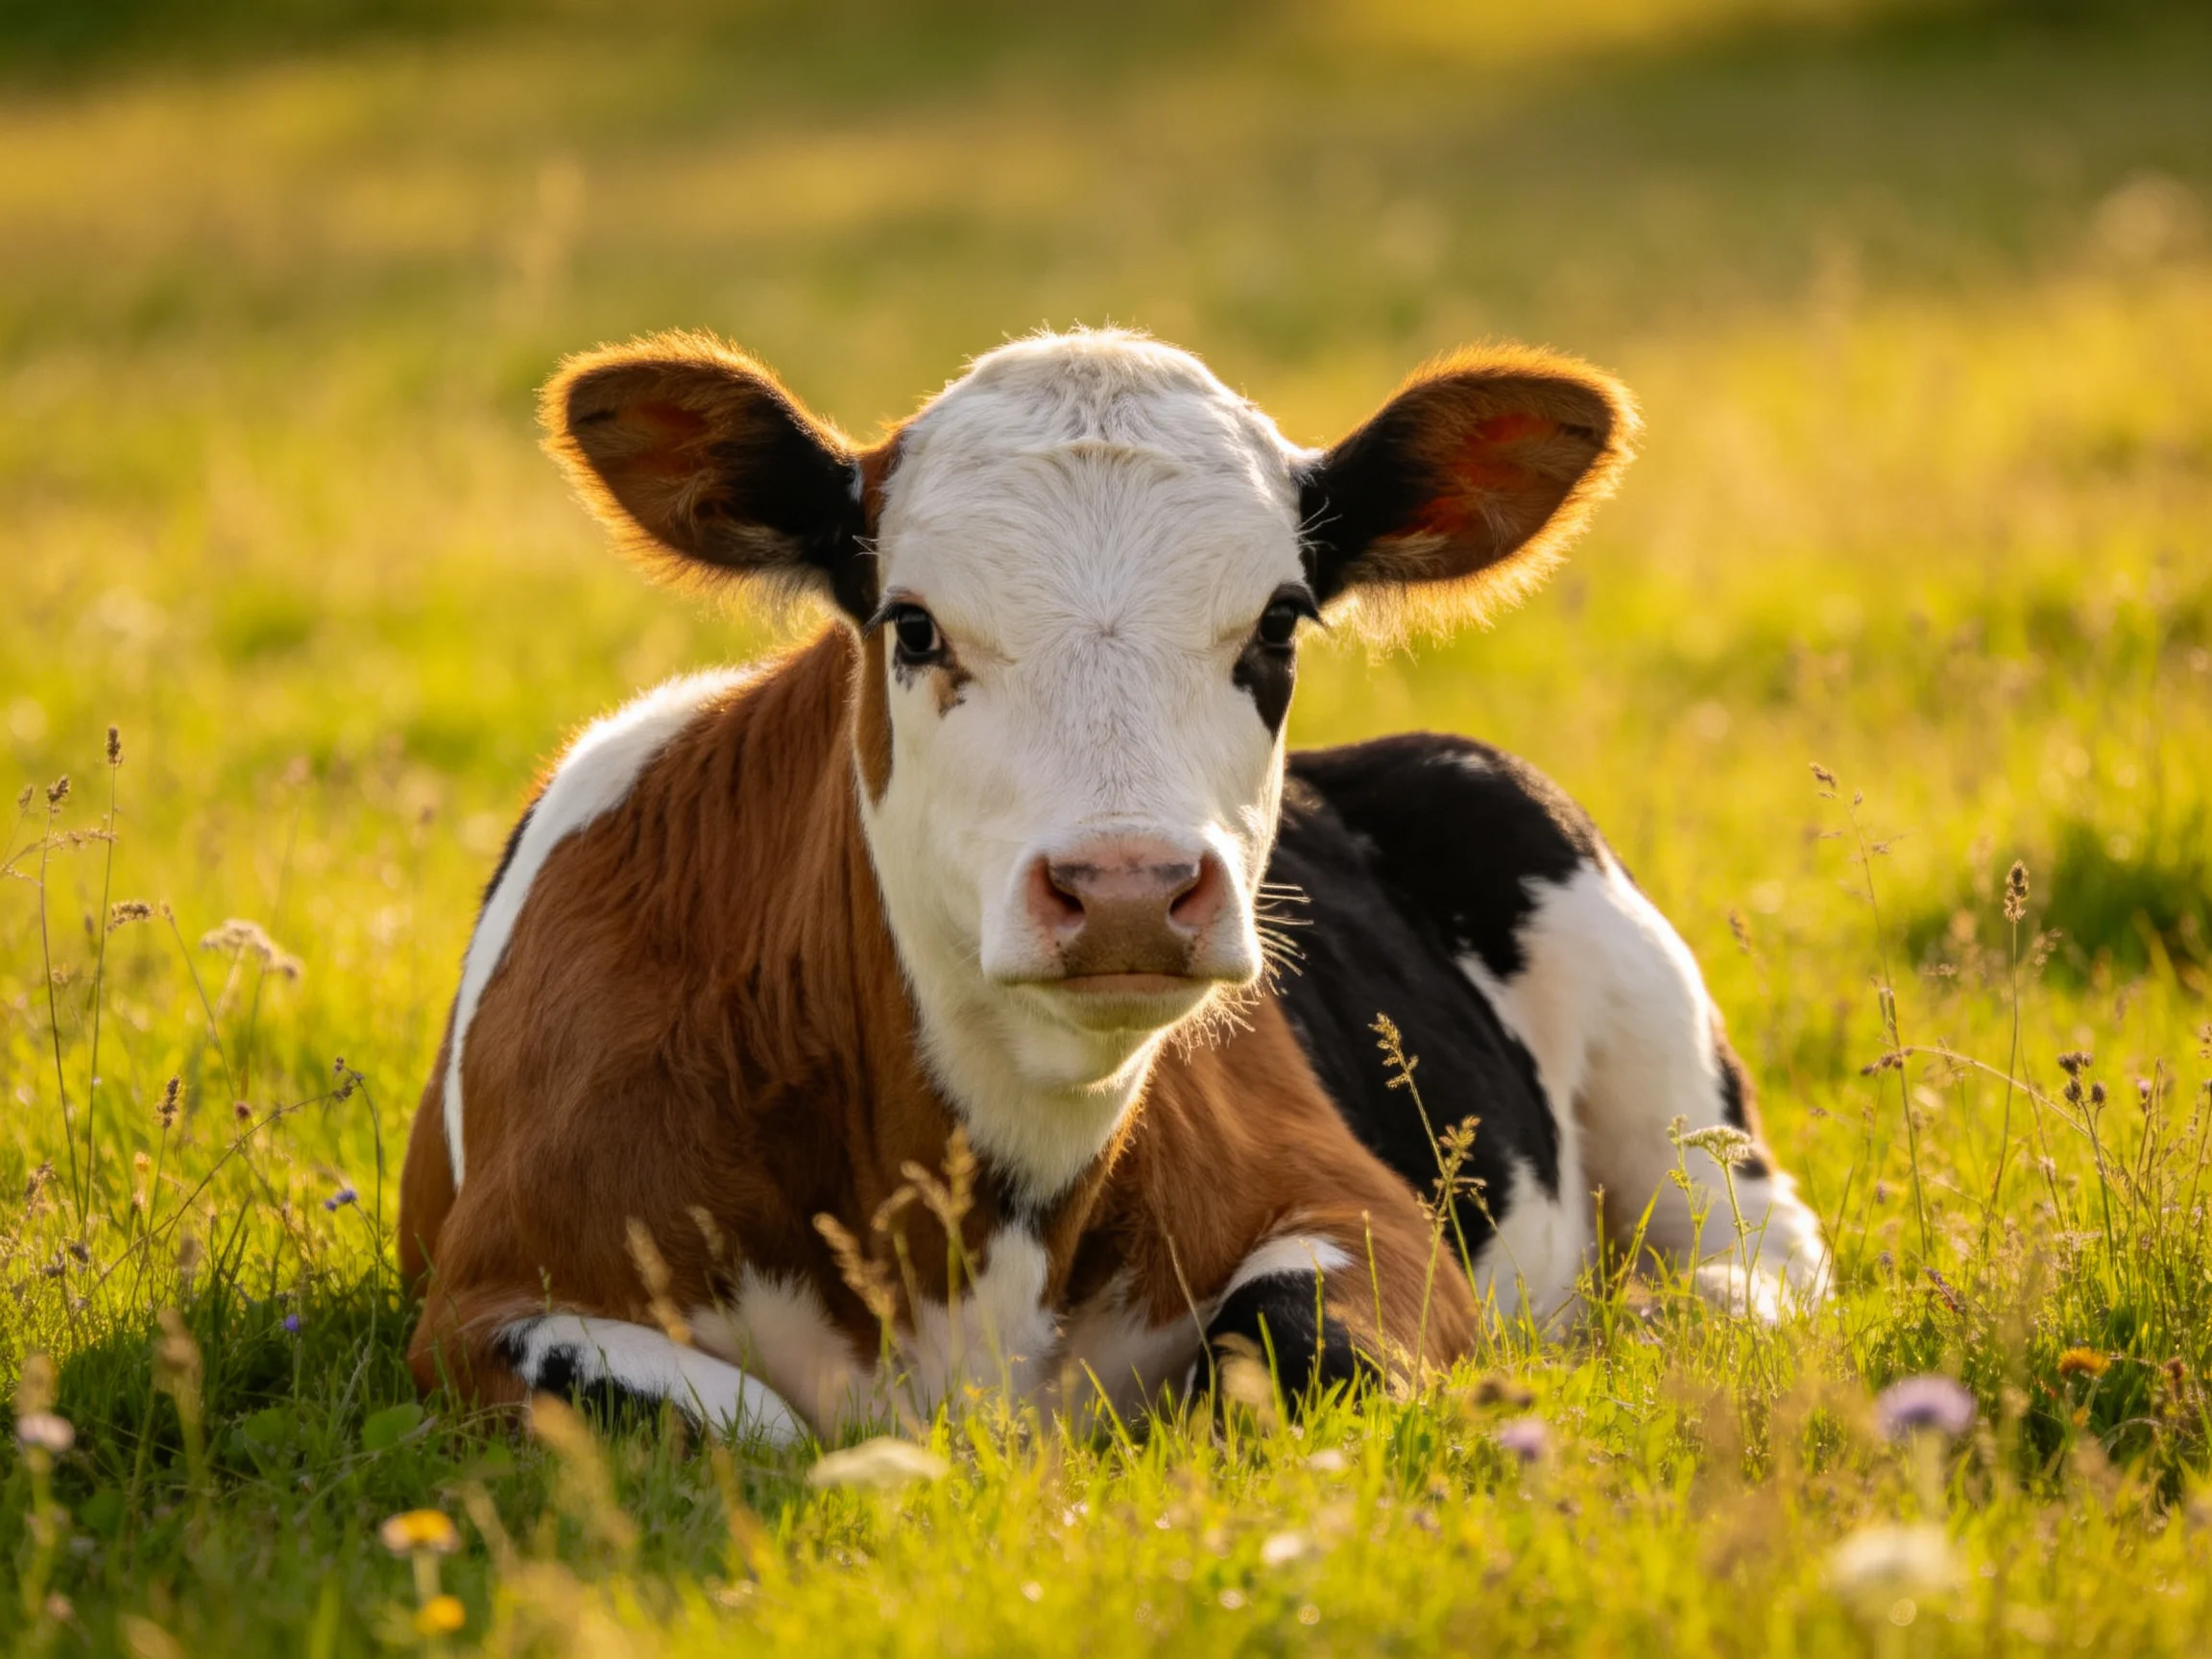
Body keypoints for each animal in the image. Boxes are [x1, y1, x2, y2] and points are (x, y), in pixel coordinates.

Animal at [396, 327, 1827, 1444]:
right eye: (912, 624)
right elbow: (724, 1423)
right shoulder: (484, 1302)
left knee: (1753, 1258)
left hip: (1658, 1059)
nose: (1130, 887)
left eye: (1279, 622)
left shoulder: (1367, 1213)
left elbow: (1299, 1339)